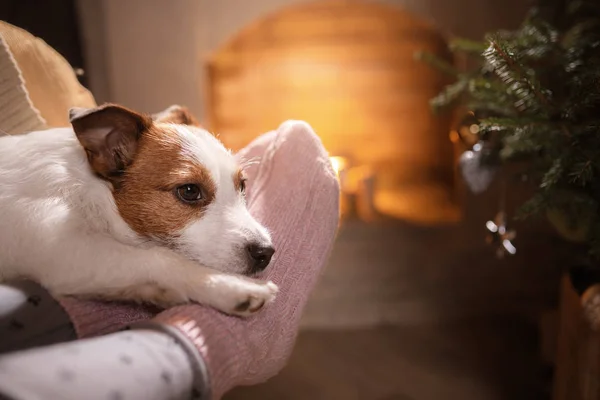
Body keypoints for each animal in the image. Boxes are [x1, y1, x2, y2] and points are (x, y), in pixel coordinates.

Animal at [0, 103, 276, 316]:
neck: (90, 189)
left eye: (242, 185)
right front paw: (230, 286)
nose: (266, 252)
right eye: (189, 191)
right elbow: (159, 258)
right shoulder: (64, 249)